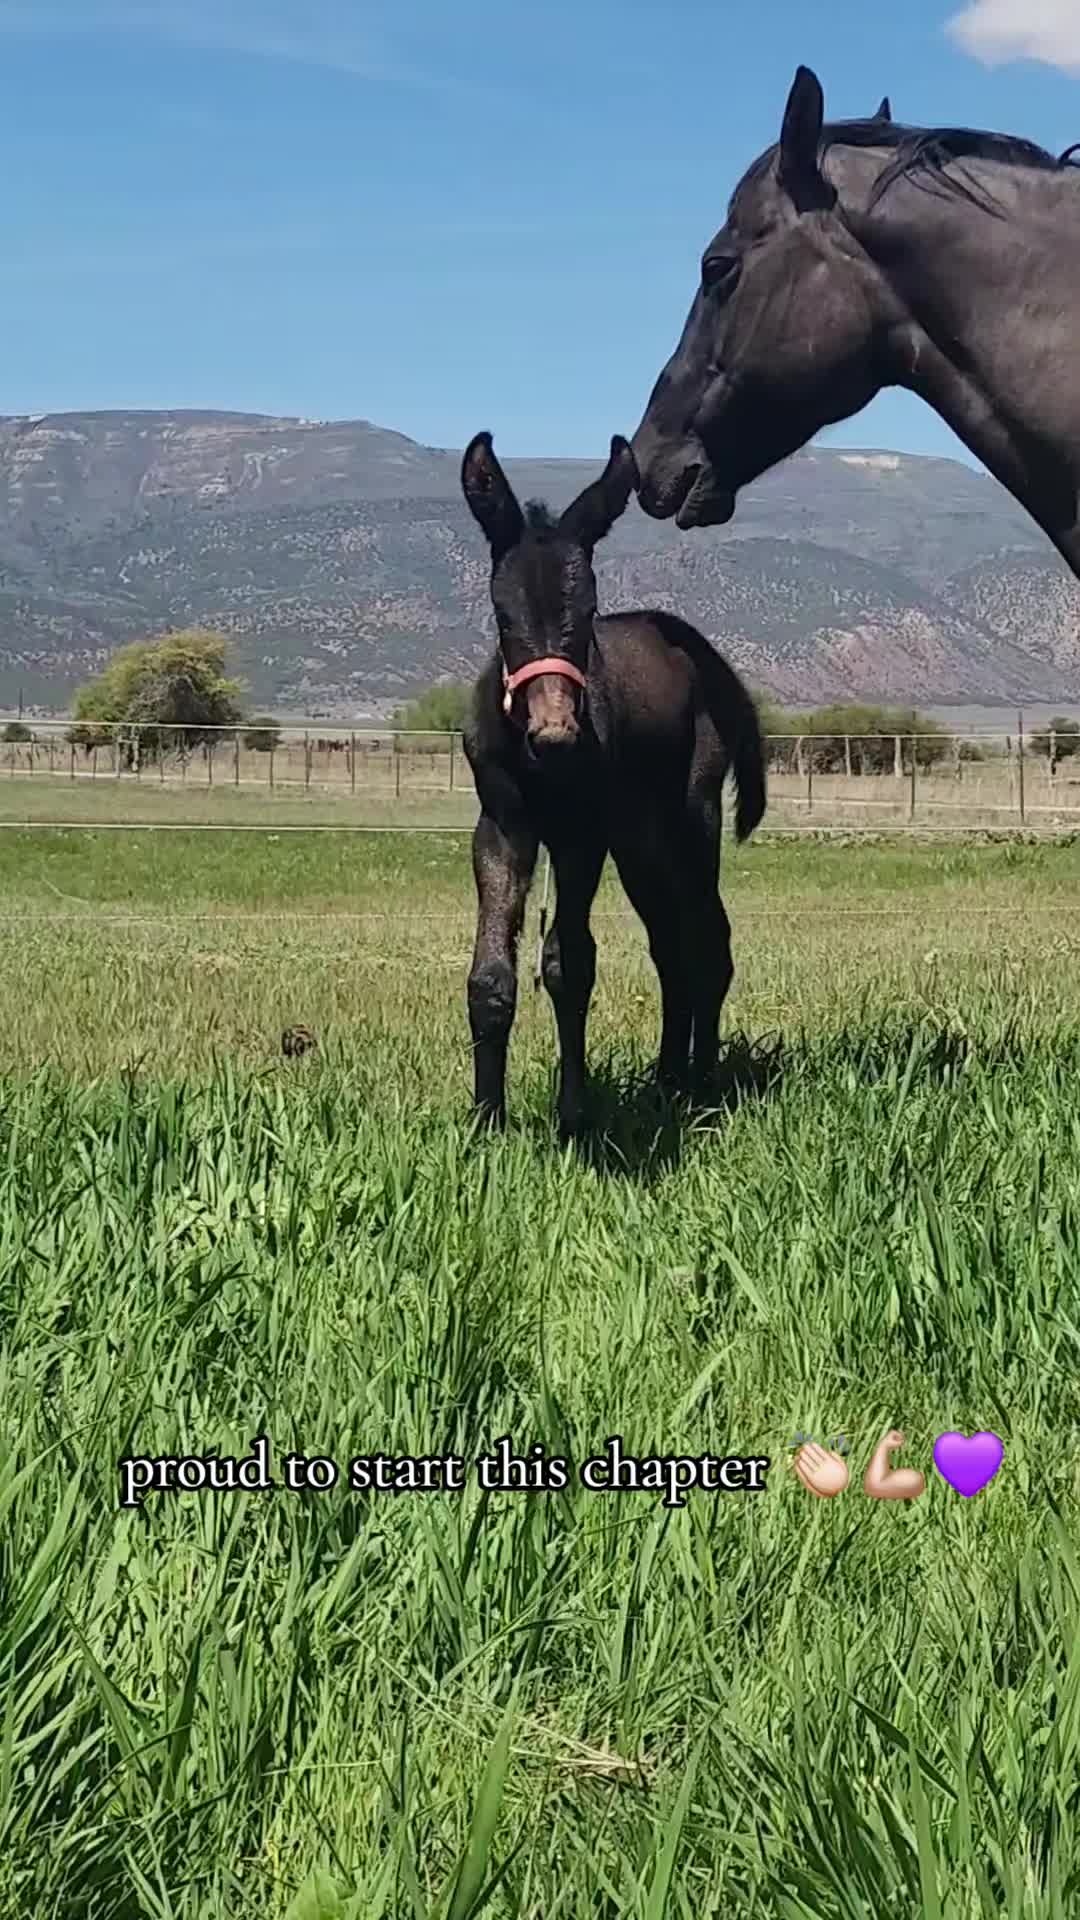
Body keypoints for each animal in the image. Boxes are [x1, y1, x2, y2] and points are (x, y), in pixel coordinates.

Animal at [460, 431, 766, 1139]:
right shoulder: (502, 828)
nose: (554, 735)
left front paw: (573, 1117)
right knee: (671, 947)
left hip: (689, 822)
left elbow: (569, 966)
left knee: (708, 942)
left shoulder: (581, 838)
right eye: (502, 614)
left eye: (590, 610)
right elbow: (490, 976)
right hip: (640, 848)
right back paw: (668, 1078)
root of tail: (712, 662)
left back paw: (702, 1087)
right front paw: (486, 1122)